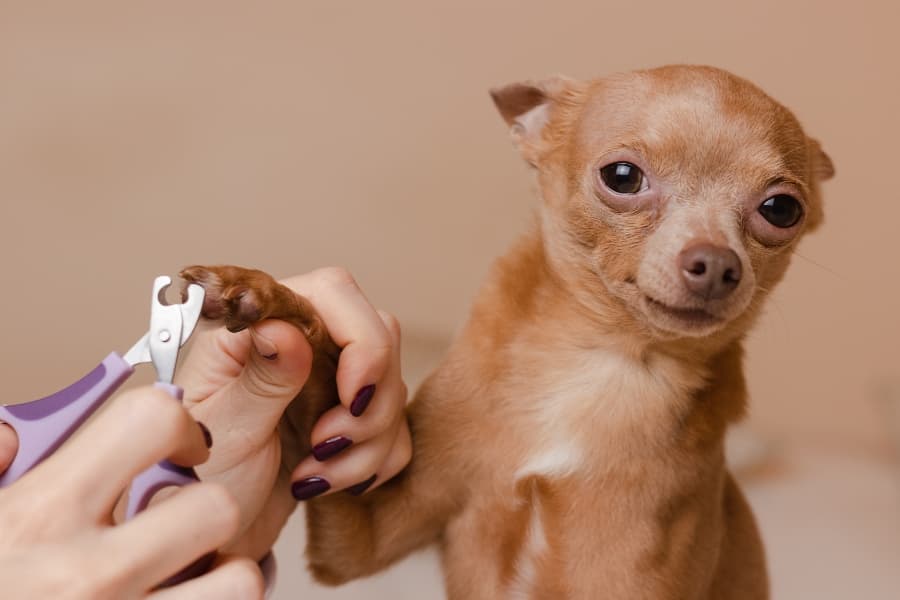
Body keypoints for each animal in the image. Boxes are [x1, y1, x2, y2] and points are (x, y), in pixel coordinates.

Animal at [185, 65, 836, 600]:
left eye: (781, 210)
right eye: (623, 176)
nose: (718, 264)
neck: (601, 361)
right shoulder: (357, 539)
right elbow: (321, 375)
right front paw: (265, 295)